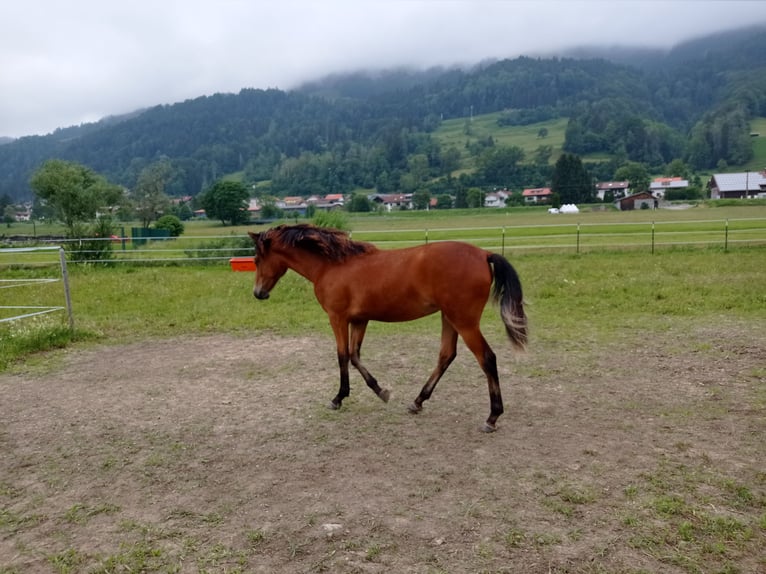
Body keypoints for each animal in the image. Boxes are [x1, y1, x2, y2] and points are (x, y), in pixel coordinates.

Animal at [248, 225, 528, 432]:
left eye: (256, 259)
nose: (258, 293)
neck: (332, 265)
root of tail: (484, 253)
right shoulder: (359, 320)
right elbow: (355, 356)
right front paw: (381, 391)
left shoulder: (338, 318)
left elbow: (342, 356)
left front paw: (338, 398)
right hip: (449, 318)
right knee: (446, 355)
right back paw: (417, 402)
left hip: (464, 322)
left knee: (487, 359)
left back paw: (492, 417)